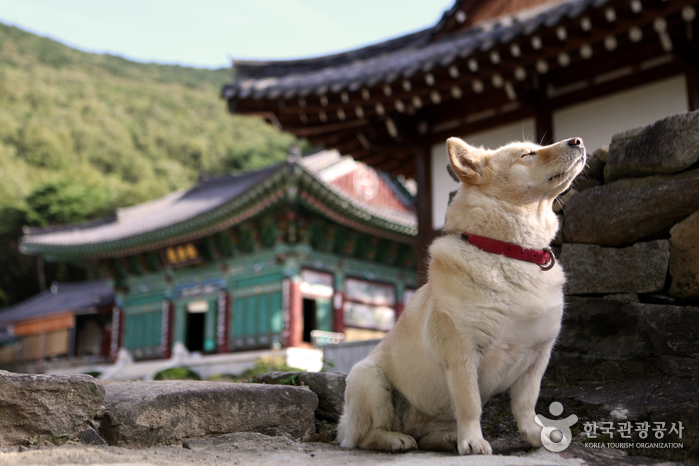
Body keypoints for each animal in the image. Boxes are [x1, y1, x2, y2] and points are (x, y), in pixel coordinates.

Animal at [336, 136, 588, 456]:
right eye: (527, 154)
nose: (577, 140)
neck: (511, 252)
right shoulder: (462, 354)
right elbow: (471, 405)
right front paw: (473, 441)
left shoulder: (537, 358)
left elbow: (526, 405)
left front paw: (535, 436)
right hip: (368, 378)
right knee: (366, 436)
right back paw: (395, 439)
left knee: (424, 436)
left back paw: (444, 438)